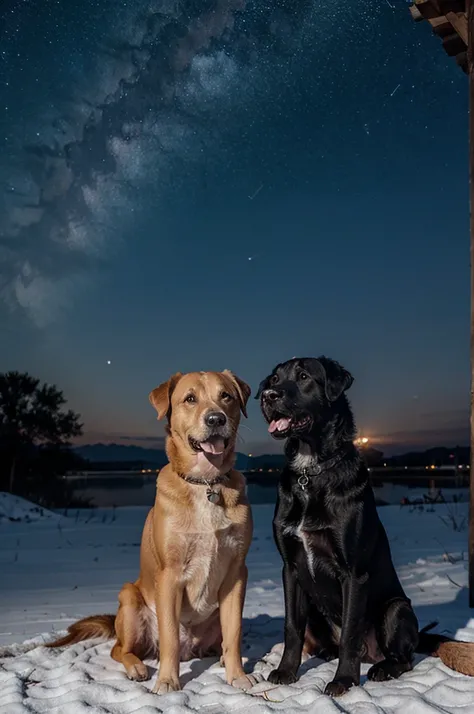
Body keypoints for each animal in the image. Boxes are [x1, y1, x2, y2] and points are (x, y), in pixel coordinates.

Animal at [47, 370, 256, 692]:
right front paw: (168, 681)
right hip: (130, 599)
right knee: (120, 649)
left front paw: (238, 676)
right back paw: (137, 667)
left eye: (226, 396)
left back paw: (220, 658)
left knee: (218, 643)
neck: (205, 483)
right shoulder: (169, 576)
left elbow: (233, 634)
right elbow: (169, 637)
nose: (216, 419)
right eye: (190, 398)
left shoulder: (236, 574)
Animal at [260, 356, 474, 696]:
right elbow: (291, 626)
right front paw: (286, 671)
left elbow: (350, 632)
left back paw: (382, 668)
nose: (268, 395)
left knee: (403, 657)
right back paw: (326, 653)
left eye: (304, 376)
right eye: (274, 379)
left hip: (396, 609)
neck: (311, 470)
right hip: (316, 610)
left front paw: (344, 680)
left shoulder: (354, 574)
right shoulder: (290, 569)